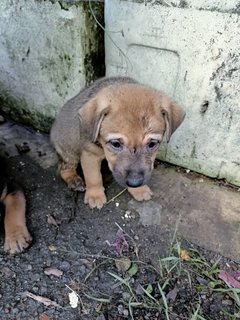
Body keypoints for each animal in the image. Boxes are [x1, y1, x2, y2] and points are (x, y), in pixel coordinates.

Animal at [50, 76, 186, 209]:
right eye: (116, 144)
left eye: (152, 144)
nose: (135, 183)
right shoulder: (90, 154)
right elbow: (93, 177)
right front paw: (95, 196)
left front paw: (139, 190)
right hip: (69, 151)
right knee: (64, 168)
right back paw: (74, 179)